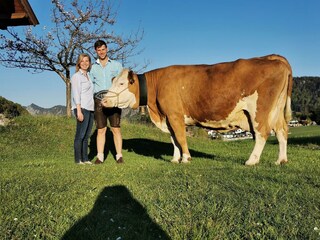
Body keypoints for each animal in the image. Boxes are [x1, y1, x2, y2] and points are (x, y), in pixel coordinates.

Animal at [100, 54, 292, 165]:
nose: (104, 100)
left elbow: (180, 137)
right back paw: (281, 160)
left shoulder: (175, 115)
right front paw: (175, 158)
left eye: (121, 83)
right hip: (276, 110)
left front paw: (186, 158)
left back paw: (251, 161)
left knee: (262, 133)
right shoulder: (168, 117)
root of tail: (271, 58)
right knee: (282, 131)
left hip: (260, 110)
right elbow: (174, 139)